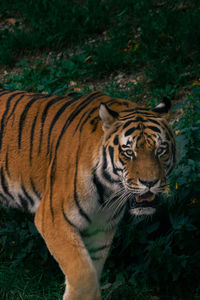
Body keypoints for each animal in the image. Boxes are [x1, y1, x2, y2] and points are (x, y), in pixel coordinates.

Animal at [0, 89, 176, 300]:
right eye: (128, 152)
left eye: (160, 150)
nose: (150, 183)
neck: (108, 192)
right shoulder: (53, 220)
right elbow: (84, 275)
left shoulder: (100, 230)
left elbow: (92, 269)